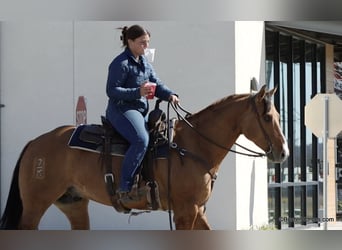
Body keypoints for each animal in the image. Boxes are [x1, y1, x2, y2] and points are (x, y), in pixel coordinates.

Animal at [0, 85, 288, 229]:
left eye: (277, 115)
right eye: (266, 117)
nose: (283, 152)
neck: (194, 145)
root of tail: (35, 143)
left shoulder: (198, 210)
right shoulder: (185, 212)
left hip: (74, 204)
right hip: (35, 205)